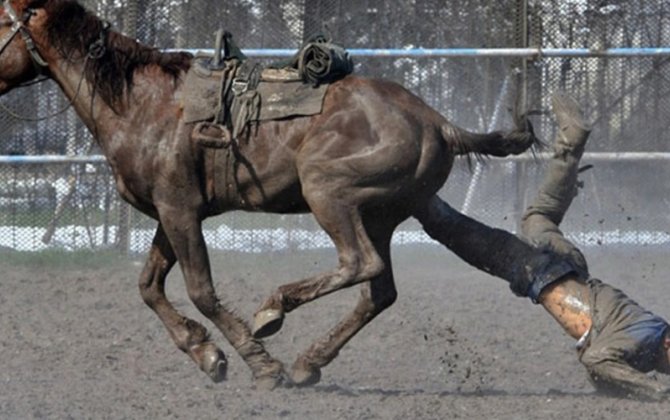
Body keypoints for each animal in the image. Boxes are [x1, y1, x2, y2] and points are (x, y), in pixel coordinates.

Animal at [0, 0, 540, 390]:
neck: (142, 103)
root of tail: (436, 121)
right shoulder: (168, 214)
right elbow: (149, 285)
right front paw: (204, 352)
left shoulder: (180, 210)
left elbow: (200, 290)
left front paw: (257, 363)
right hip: (382, 215)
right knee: (379, 290)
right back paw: (308, 362)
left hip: (328, 190)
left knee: (359, 263)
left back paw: (274, 312)